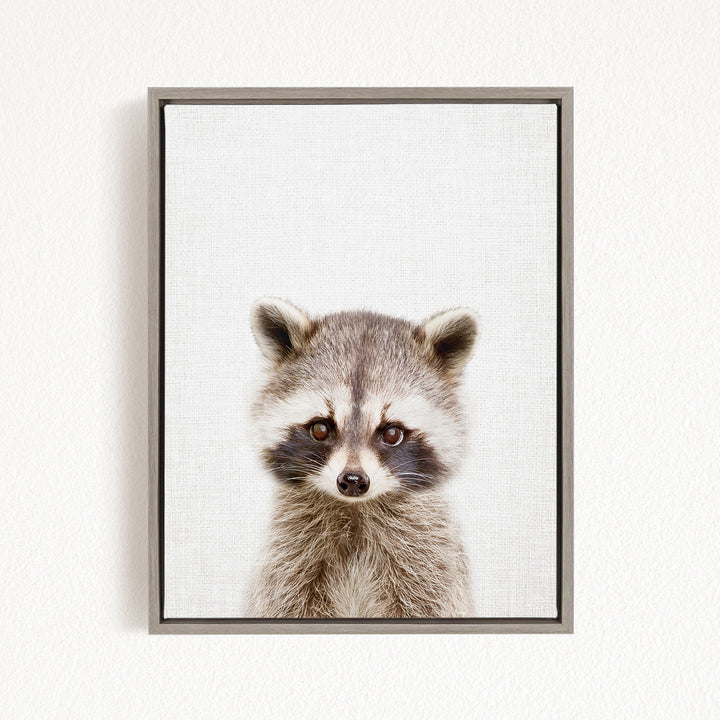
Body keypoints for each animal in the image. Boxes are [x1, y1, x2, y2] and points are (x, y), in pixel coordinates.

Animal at [244, 297, 479, 618]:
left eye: (392, 433)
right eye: (320, 429)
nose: (353, 480)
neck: (355, 510)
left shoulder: (431, 563)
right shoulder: (287, 560)